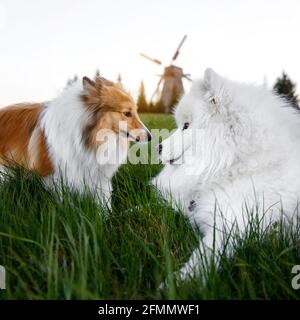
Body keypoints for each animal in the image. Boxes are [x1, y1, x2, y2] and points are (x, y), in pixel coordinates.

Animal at [152, 69, 300, 282]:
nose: (157, 148)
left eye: (186, 126)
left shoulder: (232, 227)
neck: (235, 164)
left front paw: (178, 282)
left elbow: (202, 258)